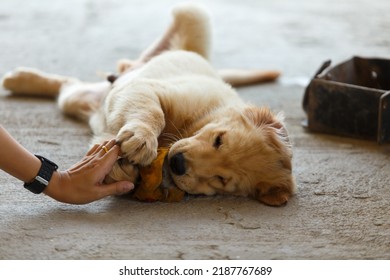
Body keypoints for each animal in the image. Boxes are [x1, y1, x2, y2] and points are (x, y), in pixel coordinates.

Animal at [1, 2, 294, 206]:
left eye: (222, 179)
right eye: (218, 140)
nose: (178, 164)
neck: (199, 121)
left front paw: (123, 171)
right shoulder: (147, 88)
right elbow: (153, 112)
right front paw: (141, 138)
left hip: (79, 99)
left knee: (68, 85)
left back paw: (20, 79)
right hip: (193, 12)